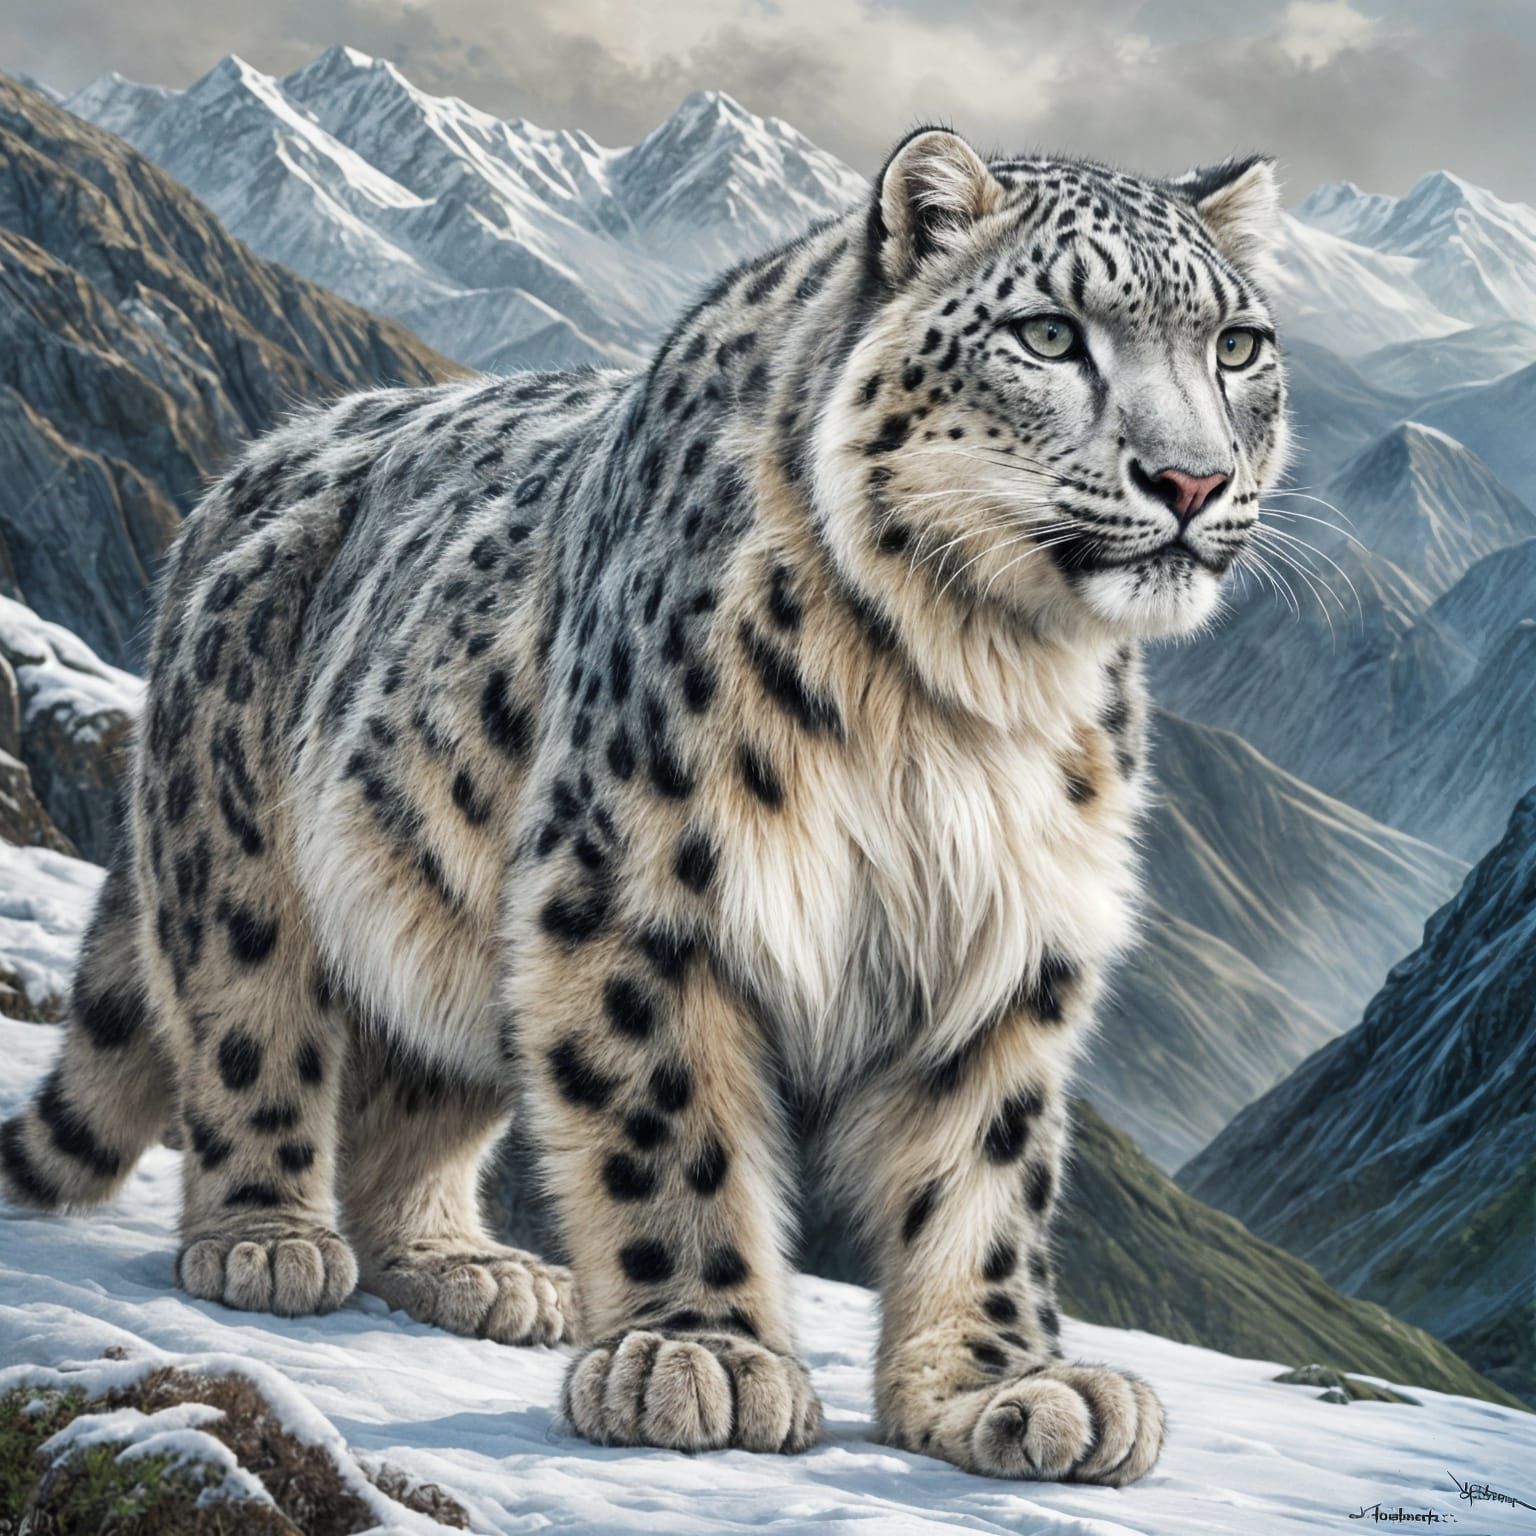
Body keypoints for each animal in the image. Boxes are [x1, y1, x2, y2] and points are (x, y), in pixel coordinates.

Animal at [1, 127, 1288, 1484]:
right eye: (1049, 334)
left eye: (1235, 346)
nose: (1192, 479)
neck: (968, 688)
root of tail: (244, 470)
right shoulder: (634, 889)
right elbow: (669, 1123)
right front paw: (701, 1355)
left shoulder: (1010, 941)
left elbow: (983, 1176)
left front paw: (1004, 1387)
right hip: (238, 853)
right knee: (252, 1025)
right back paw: (265, 1240)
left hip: (443, 912)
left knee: (419, 1092)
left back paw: (468, 1268)